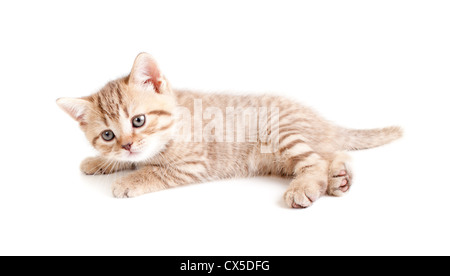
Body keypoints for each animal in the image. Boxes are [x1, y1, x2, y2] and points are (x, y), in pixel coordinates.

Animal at [56, 52, 400, 208]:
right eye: (108, 135)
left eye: (138, 121)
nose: (127, 145)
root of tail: (322, 121)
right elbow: (130, 161)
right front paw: (101, 161)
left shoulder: (194, 163)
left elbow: (156, 170)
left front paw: (130, 180)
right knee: (334, 154)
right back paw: (339, 177)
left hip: (282, 131)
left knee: (314, 161)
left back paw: (306, 186)